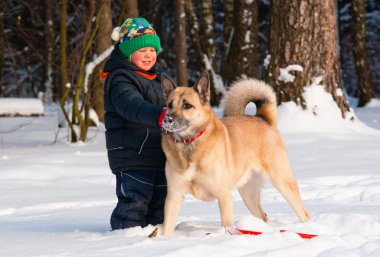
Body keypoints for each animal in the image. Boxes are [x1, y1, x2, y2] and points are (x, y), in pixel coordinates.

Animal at [159, 71, 310, 235]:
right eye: (169, 105)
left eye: (187, 105)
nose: (167, 120)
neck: (190, 144)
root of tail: (263, 118)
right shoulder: (174, 195)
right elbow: (167, 228)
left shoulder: (223, 195)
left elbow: (226, 226)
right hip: (248, 193)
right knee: (262, 216)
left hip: (282, 181)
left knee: (304, 213)